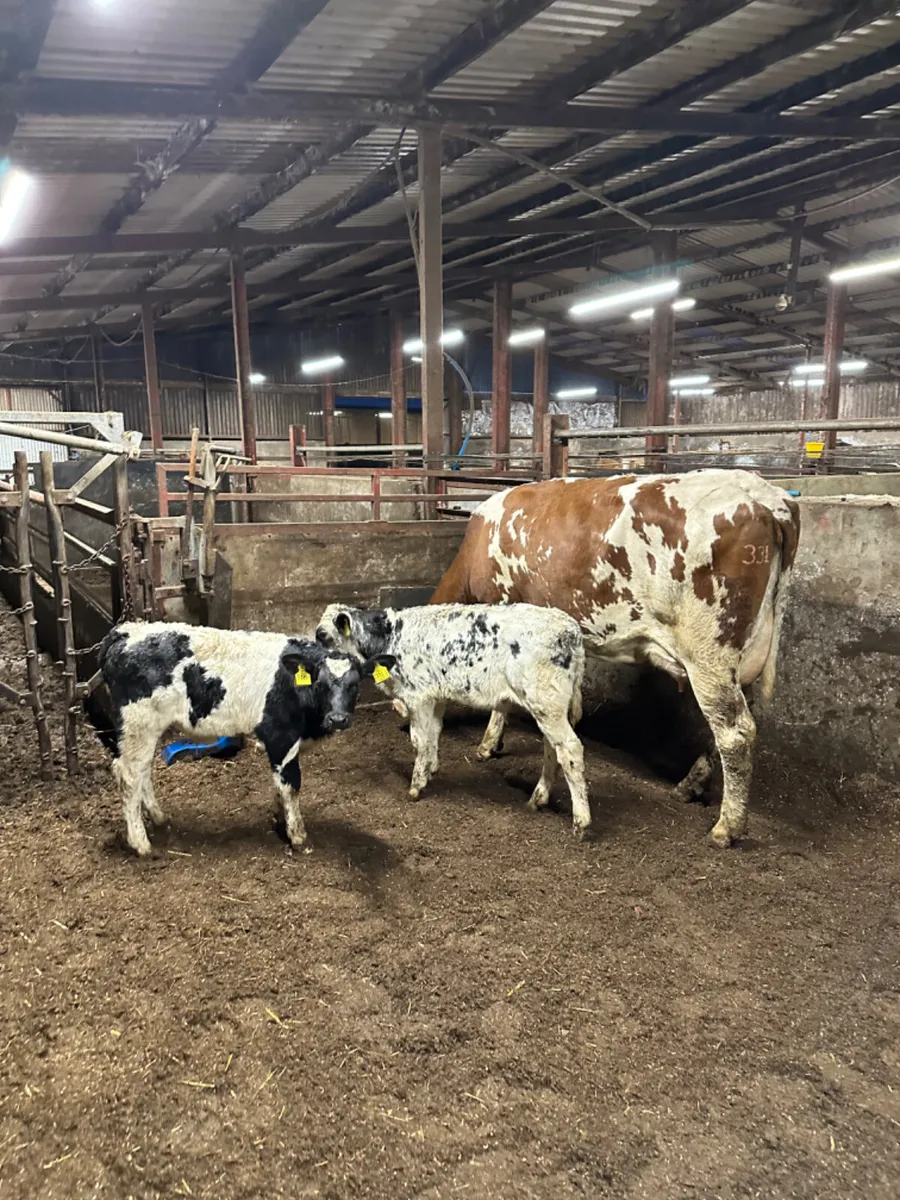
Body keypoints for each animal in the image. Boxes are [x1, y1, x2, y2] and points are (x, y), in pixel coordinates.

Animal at [88, 622, 378, 857]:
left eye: (354, 685)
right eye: (321, 684)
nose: (338, 719)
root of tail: (123, 631)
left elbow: (279, 784)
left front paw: (280, 820)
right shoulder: (279, 735)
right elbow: (291, 784)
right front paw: (298, 837)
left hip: (144, 729)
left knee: (141, 771)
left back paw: (159, 818)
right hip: (139, 723)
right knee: (128, 775)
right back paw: (141, 843)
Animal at [316, 603, 592, 838]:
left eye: (323, 635)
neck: (390, 637)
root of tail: (571, 628)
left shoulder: (419, 696)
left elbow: (420, 740)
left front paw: (416, 785)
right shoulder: (437, 695)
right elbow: (433, 733)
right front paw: (431, 769)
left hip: (546, 704)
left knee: (570, 749)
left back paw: (581, 821)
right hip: (548, 708)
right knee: (552, 748)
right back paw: (538, 798)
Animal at [429, 469, 800, 848]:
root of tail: (766, 496)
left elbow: (502, 698)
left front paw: (488, 744)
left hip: (709, 655)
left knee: (735, 734)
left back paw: (726, 827)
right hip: (740, 660)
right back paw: (689, 785)